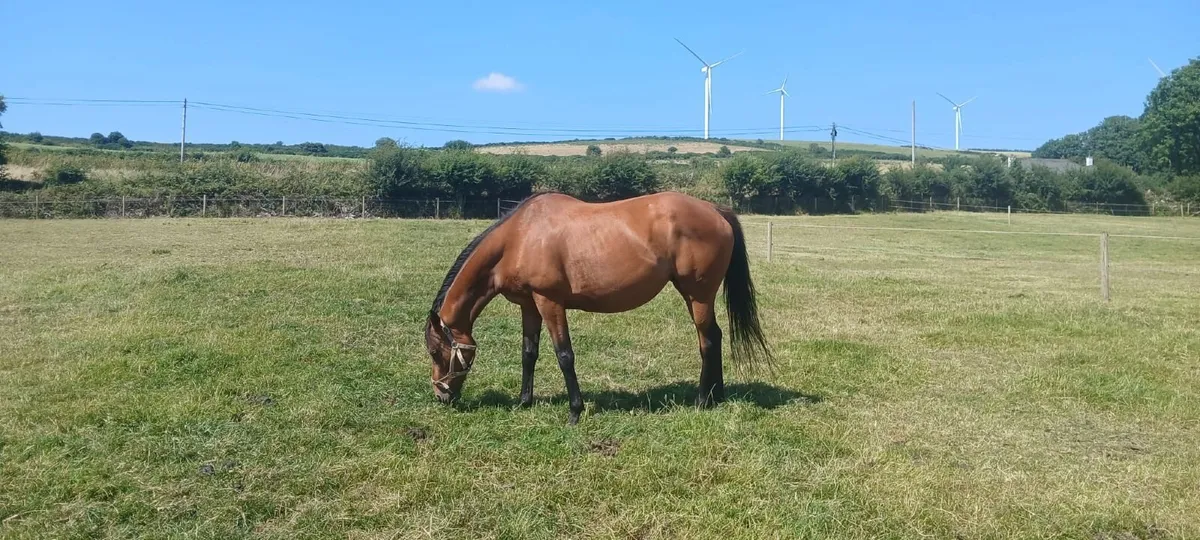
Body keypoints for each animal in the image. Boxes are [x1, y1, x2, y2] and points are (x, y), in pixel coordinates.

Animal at [424, 191, 772, 424]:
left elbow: (564, 355)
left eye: (435, 351)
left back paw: (702, 400)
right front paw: (524, 401)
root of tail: (715, 209)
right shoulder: (529, 305)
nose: (441, 395)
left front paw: (575, 411)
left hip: (698, 295)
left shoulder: (550, 302)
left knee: (708, 341)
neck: (520, 237)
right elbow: (528, 354)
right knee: (716, 337)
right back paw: (718, 396)